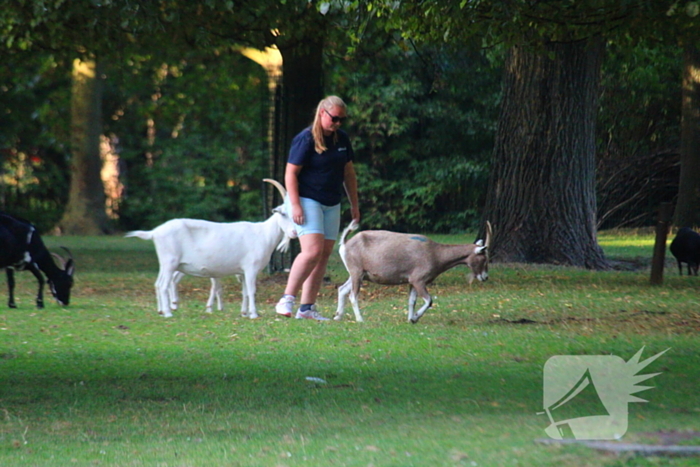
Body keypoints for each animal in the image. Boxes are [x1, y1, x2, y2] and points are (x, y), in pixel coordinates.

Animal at [126, 179, 296, 318]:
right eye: (283, 214)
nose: (294, 233)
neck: (263, 234)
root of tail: (154, 232)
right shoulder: (251, 268)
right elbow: (252, 290)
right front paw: (254, 314)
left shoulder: (242, 272)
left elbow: (245, 292)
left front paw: (244, 313)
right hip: (170, 262)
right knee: (163, 285)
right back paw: (168, 313)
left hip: (166, 263)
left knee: (157, 283)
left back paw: (161, 311)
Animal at [334, 221, 492, 324]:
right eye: (484, 258)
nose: (485, 277)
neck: (436, 253)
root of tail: (345, 243)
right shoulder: (419, 280)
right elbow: (429, 300)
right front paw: (415, 317)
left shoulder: (411, 282)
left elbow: (412, 301)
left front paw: (410, 319)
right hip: (357, 273)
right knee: (353, 295)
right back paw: (360, 320)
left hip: (359, 275)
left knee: (342, 289)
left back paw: (338, 317)